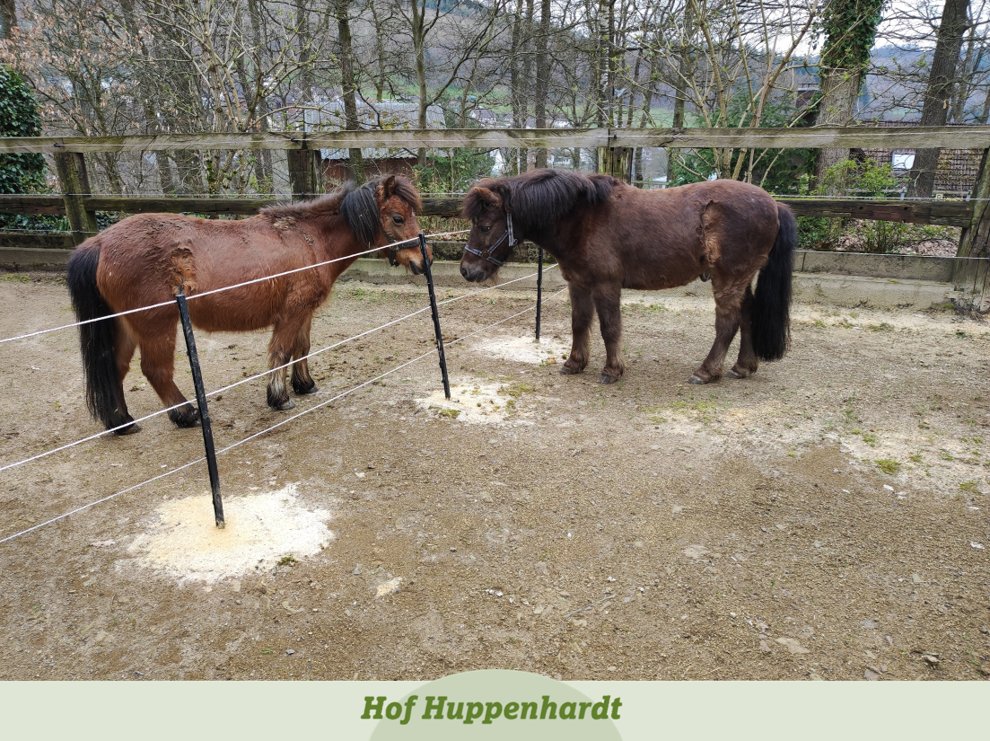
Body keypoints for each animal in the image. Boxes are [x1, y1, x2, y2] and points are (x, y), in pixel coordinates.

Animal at [67, 175, 429, 434]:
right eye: (398, 217)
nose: (423, 261)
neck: (309, 239)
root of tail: (100, 243)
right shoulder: (291, 313)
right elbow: (282, 352)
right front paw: (279, 397)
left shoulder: (305, 313)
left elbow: (302, 348)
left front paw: (305, 385)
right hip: (156, 326)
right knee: (155, 371)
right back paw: (186, 414)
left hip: (125, 326)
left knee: (116, 367)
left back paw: (122, 422)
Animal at [459, 168, 796, 385]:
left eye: (485, 226)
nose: (467, 270)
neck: (582, 218)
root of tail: (773, 204)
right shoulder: (578, 283)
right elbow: (579, 323)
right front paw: (574, 363)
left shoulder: (606, 285)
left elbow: (609, 328)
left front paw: (612, 370)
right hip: (741, 279)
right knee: (748, 315)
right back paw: (743, 367)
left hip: (728, 279)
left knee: (727, 323)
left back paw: (707, 371)